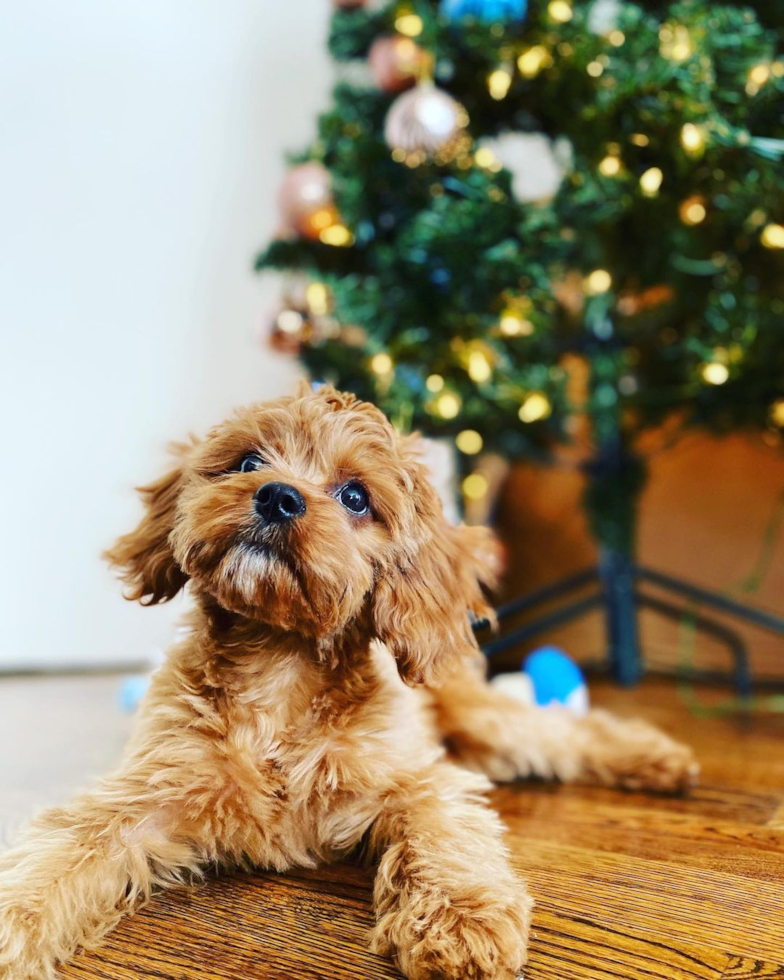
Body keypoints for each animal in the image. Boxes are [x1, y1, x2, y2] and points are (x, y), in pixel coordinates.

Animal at [0, 382, 700, 980]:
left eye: (356, 497)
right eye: (248, 460)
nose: (277, 495)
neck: (278, 666)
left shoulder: (417, 780)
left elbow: (445, 838)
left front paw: (460, 924)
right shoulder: (150, 791)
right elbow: (59, 853)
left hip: (487, 726)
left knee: (569, 731)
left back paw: (659, 758)